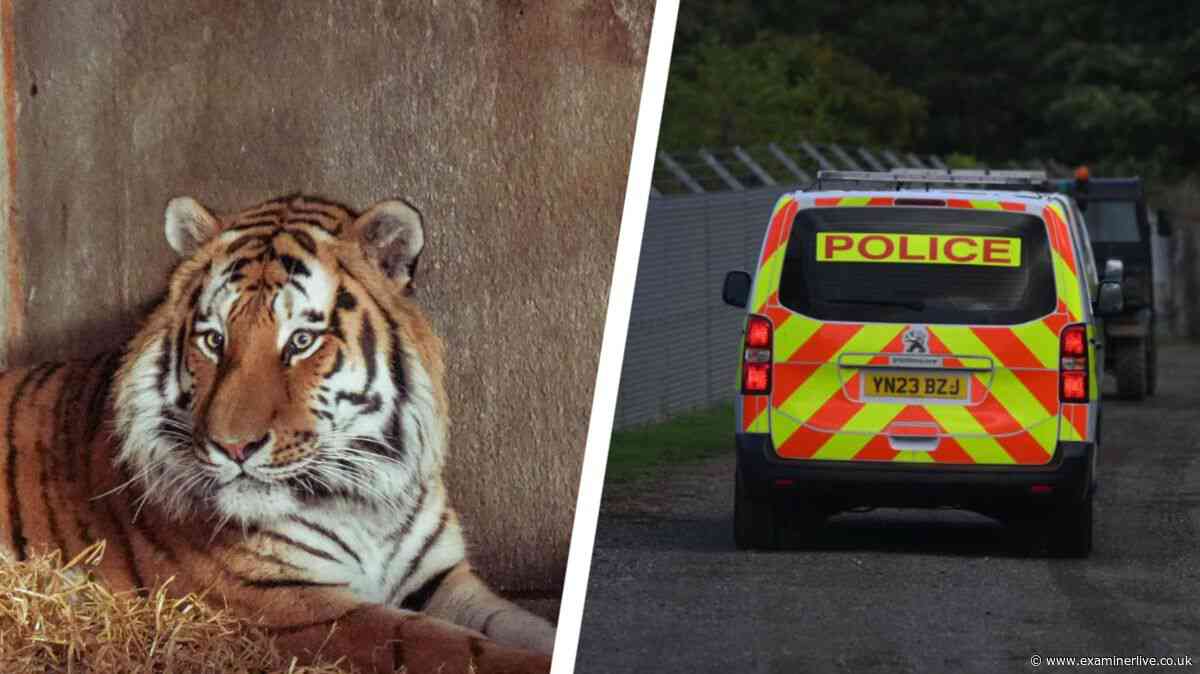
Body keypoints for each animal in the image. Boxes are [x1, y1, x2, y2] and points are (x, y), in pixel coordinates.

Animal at [0, 194, 556, 673]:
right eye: (214, 340)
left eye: (302, 341)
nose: (234, 447)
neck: (365, 502)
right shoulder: (296, 604)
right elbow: (448, 645)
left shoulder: (444, 580)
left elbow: (524, 625)